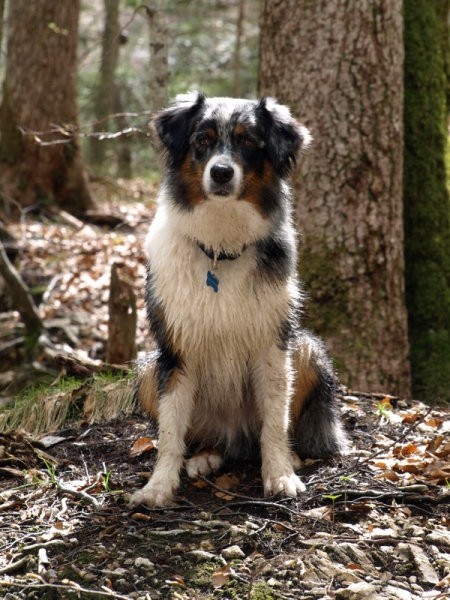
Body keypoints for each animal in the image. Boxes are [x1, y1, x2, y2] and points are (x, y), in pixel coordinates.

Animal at [128, 92, 350, 506]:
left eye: (249, 142)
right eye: (203, 139)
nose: (221, 172)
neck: (220, 248)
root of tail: (235, 440)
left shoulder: (273, 344)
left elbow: (275, 421)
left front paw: (280, 474)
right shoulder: (175, 350)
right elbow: (169, 434)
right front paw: (159, 486)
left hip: (306, 348)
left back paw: (288, 456)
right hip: (148, 369)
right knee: (196, 436)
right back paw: (204, 456)